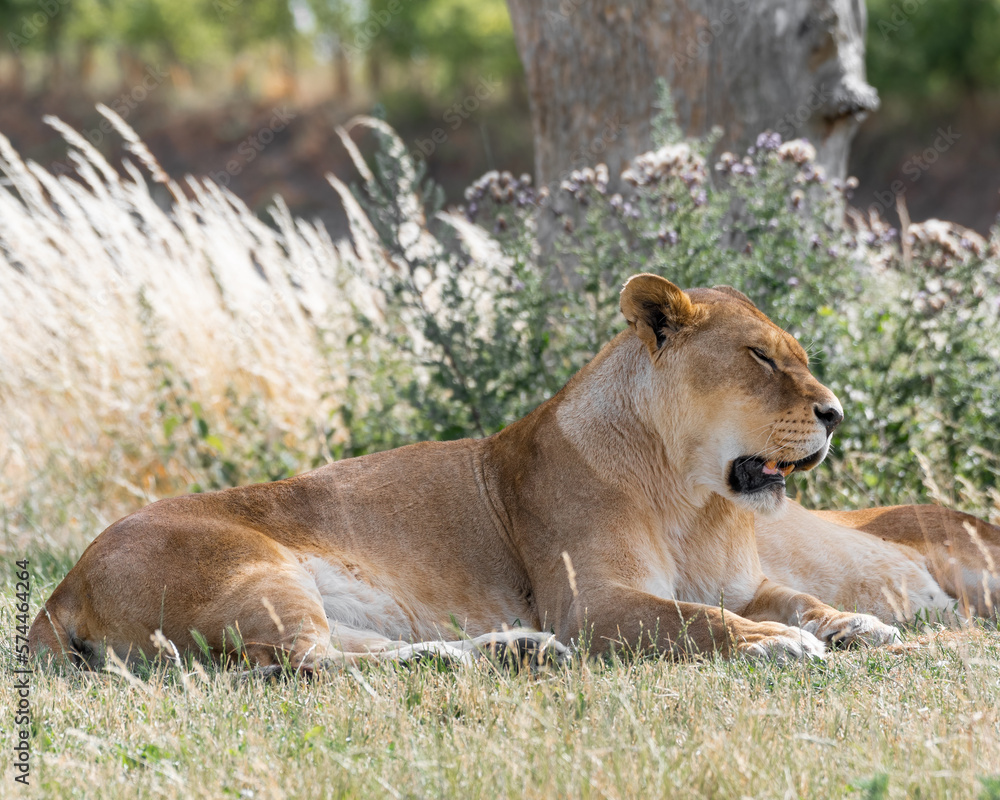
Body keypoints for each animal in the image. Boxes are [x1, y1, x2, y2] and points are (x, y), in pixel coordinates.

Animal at [33, 273, 994, 672]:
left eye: (798, 356)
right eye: (761, 357)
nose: (836, 412)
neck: (692, 497)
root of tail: (64, 582)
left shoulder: (744, 579)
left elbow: (794, 598)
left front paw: (854, 625)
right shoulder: (593, 605)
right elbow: (695, 622)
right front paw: (773, 646)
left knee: (355, 650)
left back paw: (510, 650)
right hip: (250, 569)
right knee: (309, 666)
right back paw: (507, 654)